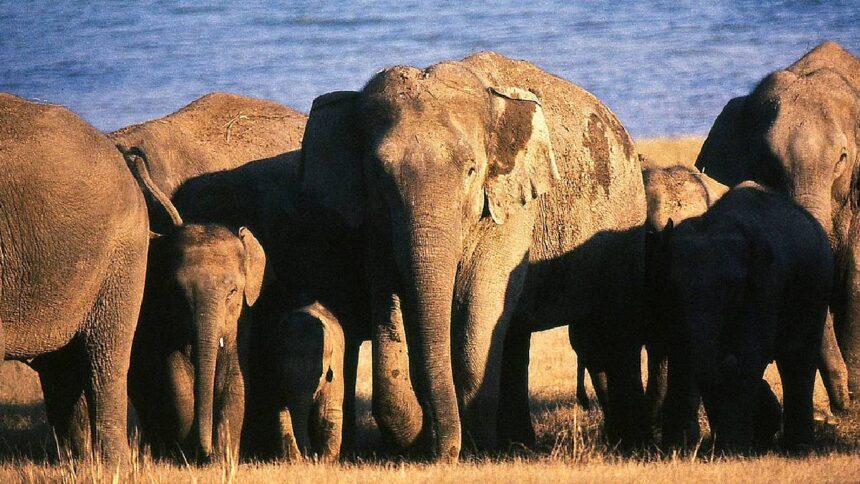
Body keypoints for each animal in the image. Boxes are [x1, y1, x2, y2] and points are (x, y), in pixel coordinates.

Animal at [121, 148, 266, 461]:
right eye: (176, 292)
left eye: (233, 292)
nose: (205, 450)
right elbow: (176, 380)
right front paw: (189, 455)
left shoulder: (241, 322)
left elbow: (235, 380)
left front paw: (223, 458)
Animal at [274, 302, 345, 463]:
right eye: (283, 372)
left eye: (320, 373)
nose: (311, 456)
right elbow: (282, 411)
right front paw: (294, 461)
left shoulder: (335, 368)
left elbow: (327, 412)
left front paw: (324, 462)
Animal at [299, 51, 648, 460]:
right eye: (378, 175)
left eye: (470, 170)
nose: (441, 453)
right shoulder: (375, 224)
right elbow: (388, 300)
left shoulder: (510, 208)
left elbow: (478, 301)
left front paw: (473, 451)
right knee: (519, 337)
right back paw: (518, 445)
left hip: (625, 222)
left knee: (613, 335)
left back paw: (628, 444)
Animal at [652, 182, 832, 451]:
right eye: (674, 287)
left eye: (733, 289)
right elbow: (682, 356)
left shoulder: (766, 286)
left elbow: (747, 355)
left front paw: (732, 449)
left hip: (816, 291)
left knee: (798, 360)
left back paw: (798, 448)